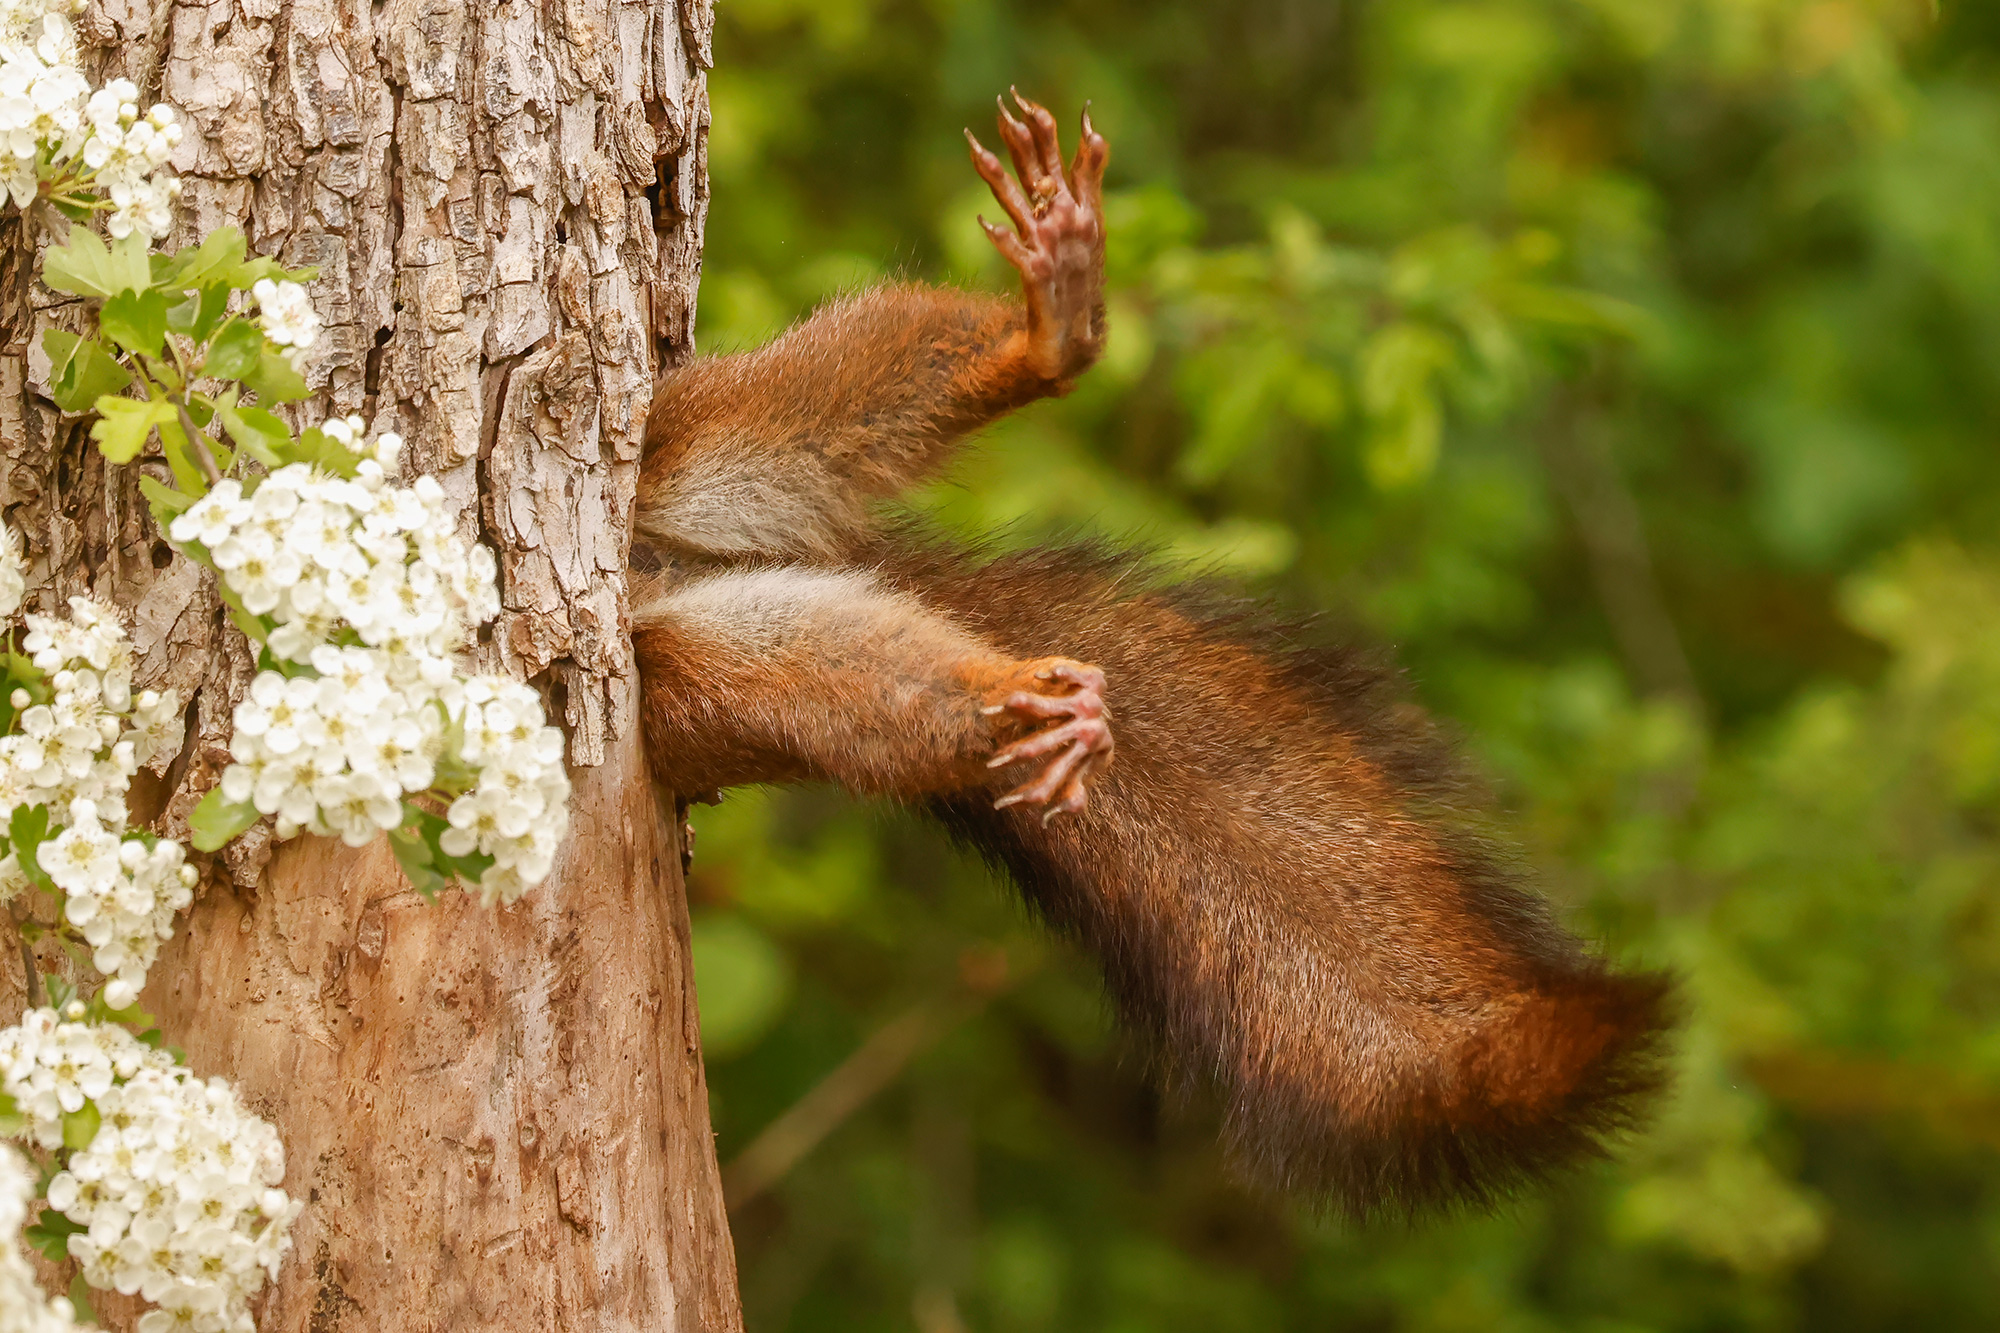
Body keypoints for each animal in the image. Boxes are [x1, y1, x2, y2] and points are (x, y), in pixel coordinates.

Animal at [632, 93, 1664, 1216]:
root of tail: (662, 571)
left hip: (683, 439)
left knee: (812, 402)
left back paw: (1050, 330)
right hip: (692, 679)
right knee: (833, 677)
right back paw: (1025, 703)